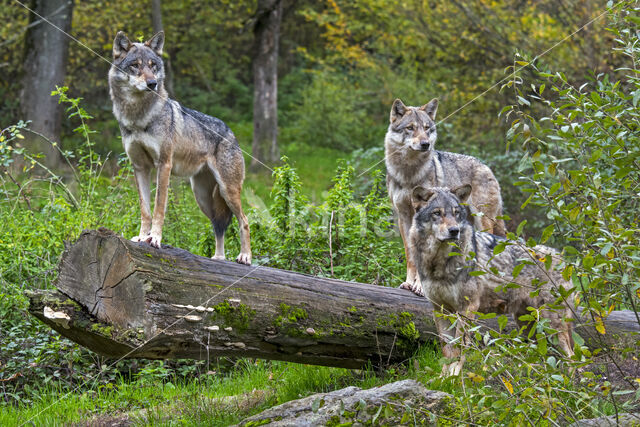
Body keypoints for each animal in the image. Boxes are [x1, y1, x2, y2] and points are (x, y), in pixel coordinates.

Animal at [109, 30, 251, 264]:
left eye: (153, 65)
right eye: (135, 65)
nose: (152, 83)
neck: (138, 117)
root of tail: (231, 132)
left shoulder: (163, 165)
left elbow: (159, 207)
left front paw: (155, 239)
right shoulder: (140, 168)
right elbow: (145, 210)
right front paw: (141, 237)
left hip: (227, 191)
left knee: (244, 220)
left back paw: (245, 256)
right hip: (203, 198)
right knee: (218, 226)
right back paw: (218, 259)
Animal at [384, 99, 504, 296]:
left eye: (427, 128)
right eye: (410, 128)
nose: (425, 144)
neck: (409, 173)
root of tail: (486, 167)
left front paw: (420, 287)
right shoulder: (404, 216)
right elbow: (410, 255)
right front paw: (408, 283)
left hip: (484, 222)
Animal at [408, 186, 576, 376]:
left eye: (456, 213)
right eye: (437, 213)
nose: (454, 230)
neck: (439, 263)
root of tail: (564, 260)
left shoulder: (468, 307)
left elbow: (459, 347)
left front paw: (455, 377)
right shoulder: (440, 310)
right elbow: (447, 349)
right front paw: (444, 377)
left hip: (551, 325)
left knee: (571, 357)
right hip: (529, 326)